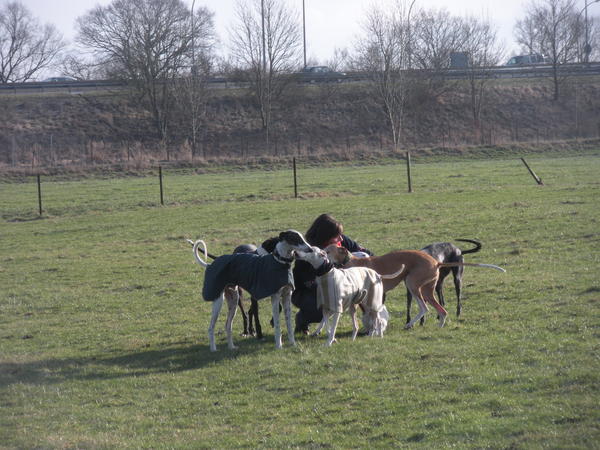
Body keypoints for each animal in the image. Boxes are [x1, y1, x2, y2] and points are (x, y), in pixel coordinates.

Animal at [326, 244, 504, 328]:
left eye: (328, 251)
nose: (321, 253)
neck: (351, 261)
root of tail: (436, 262)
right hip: (423, 288)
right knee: (437, 309)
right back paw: (438, 324)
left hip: (412, 284)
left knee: (427, 308)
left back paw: (411, 324)